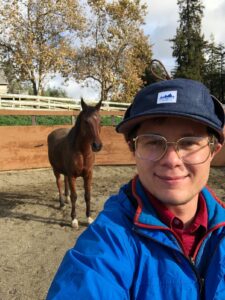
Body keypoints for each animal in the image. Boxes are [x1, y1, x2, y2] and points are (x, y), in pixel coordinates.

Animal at [48, 98, 103, 227]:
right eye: (86, 121)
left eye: (100, 121)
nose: (97, 145)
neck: (82, 152)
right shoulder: (72, 176)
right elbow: (75, 196)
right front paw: (74, 219)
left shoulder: (88, 175)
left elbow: (87, 196)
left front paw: (89, 218)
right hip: (55, 170)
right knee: (59, 183)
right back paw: (62, 204)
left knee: (65, 181)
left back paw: (66, 199)